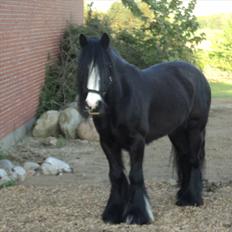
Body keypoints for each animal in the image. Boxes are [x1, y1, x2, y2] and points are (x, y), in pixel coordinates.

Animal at [77, 33, 211, 225]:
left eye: (107, 67)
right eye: (82, 67)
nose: (93, 104)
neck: (122, 99)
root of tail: (197, 74)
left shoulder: (137, 142)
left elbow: (135, 175)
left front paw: (138, 214)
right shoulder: (107, 143)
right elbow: (116, 174)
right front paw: (113, 212)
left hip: (195, 129)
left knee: (193, 160)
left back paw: (192, 199)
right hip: (177, 132)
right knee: (185, 157)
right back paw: (182, 195)